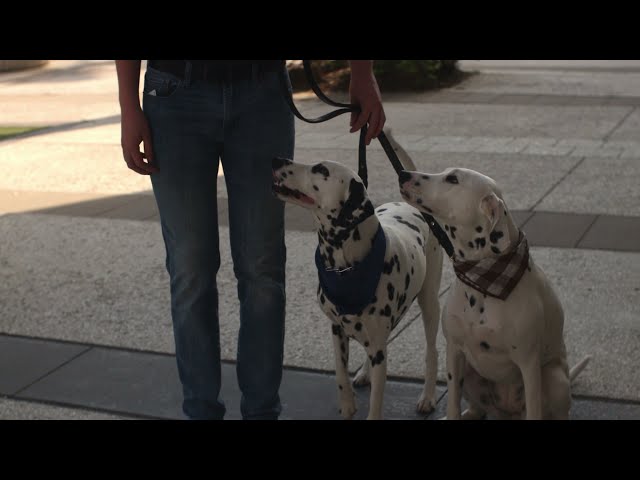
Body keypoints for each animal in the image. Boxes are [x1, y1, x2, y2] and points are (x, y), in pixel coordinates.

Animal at [268, 148, 440, 418]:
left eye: (321, 169)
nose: (276, 160)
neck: (346, 268)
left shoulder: (379, 347)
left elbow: (377, 400)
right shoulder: (337, 331)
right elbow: (340, 375)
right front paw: (348, 404)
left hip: (430, 302)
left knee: (432, 352)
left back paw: (428, 397)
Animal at [392, 136, 592, 420]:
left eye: (452, 179)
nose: (403, 174)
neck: (483, 279)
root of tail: (507, 412)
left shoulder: (529, 365)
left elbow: (534, 408)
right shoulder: (454, 352)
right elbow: (452, 403)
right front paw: (451, 413)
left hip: (554, 378)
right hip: (471, 374)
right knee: (476, 408)